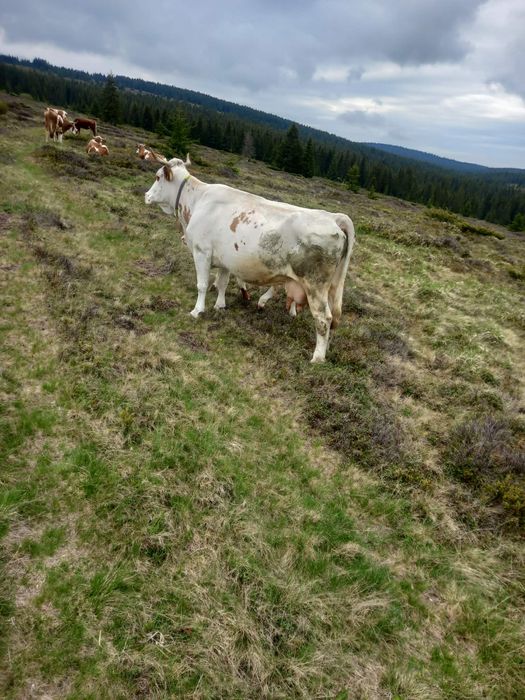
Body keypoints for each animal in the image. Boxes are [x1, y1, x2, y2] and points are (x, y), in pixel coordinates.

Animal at [144, 155, 355, 362]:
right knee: (333, 318)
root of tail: (333, 218)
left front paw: (197, 310)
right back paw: (326, 350)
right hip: (332, 286)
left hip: (315, 285)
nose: (146, 195)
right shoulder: (225, 259)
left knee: (324, 318)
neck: (197, 201)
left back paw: (317, 357)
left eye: (157, 177)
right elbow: (222, 283)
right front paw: (220, 305)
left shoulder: (201, 251)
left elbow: (202, 285)